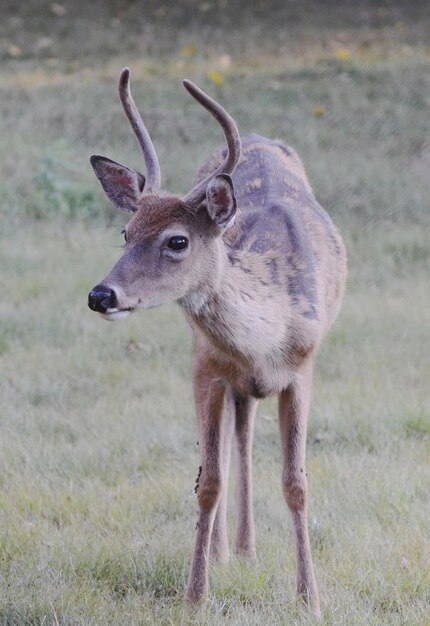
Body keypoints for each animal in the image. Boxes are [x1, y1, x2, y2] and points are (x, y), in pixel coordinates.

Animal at [87, 68, 346, 616]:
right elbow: (207, 480)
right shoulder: (205, 366)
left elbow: (296, 483)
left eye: (177, 240)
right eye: (125, 232)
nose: (101, 294)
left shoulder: (303, 368)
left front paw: (309, 599)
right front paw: (196, 595)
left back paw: (247, 550)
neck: (268, 334)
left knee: (244, 433)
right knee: (234, 438)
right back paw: (229, 551)